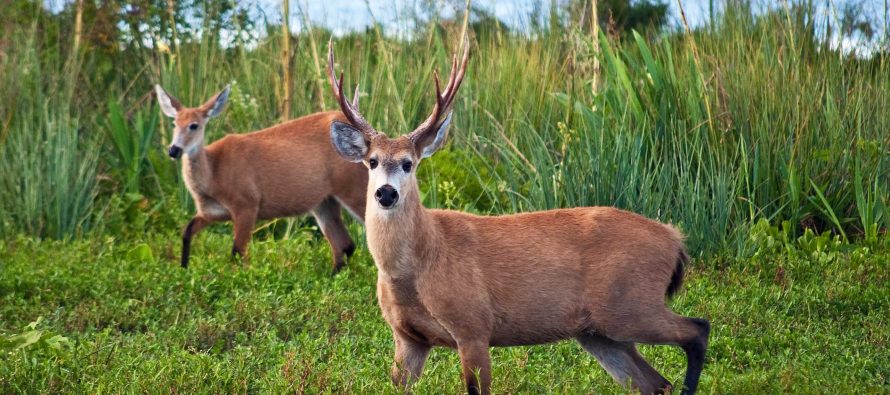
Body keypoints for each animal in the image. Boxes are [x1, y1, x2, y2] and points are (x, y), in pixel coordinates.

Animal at [154, 85, 366, 274]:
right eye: (174, 123)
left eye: (194, 125)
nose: (173, 150)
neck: (214, 175)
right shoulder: (211, 212)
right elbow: (186, 231)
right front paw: (183, 269)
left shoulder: (247, 204)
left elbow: (238, 251)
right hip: (323, 202)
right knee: (345, 245)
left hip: (353, 188)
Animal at [324, 38, 708, 395]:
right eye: (372, 161)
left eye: (408, 163)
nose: (386, 193)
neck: (419, 263)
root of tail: (675, 238)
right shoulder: (408, 338)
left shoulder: (474, 325)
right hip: (599, 332)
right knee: (656, 382)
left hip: (630, 304)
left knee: (697, 330)